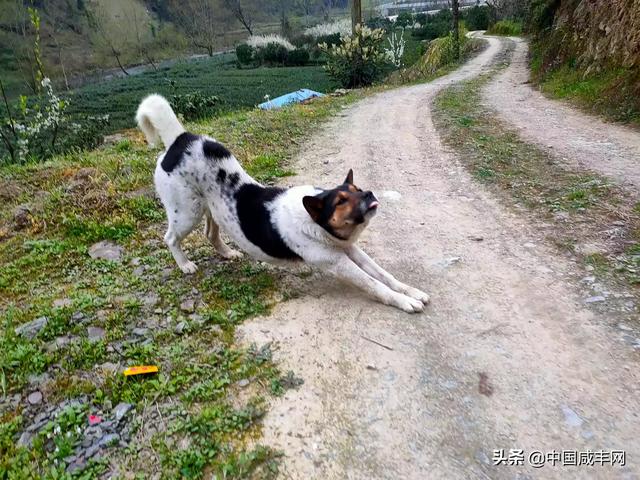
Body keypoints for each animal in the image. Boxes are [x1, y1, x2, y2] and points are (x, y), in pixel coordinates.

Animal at [136, 94, 430, 314]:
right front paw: (404, 301)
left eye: (356, 189)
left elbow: (384, 275)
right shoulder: (338, 263)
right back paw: (185, 264)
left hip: (210, 208)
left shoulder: (351, 251)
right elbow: (374, 284)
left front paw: (411, 291)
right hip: (187, 213)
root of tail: (180, 139)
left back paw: (227, 253)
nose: (369, 194)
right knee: (170, 237)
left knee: (210, 233)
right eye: (341, 200)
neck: (315, 224)